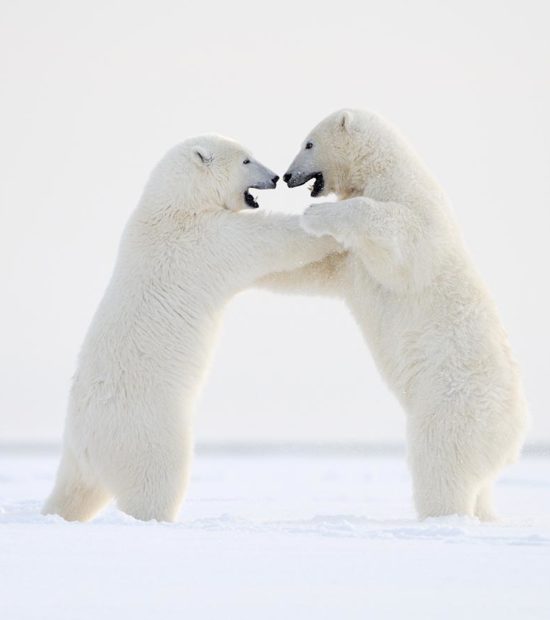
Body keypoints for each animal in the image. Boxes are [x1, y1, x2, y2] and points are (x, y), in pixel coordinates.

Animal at [41, 136, 338, 524]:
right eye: (247, 160)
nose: (275, 177)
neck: (174, 205)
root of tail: (86, 438)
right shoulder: (205, 239)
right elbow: (268, 240)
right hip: (145, 433)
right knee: (158, 481)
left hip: (78, 456)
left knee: (74, 491)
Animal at [266, 110, 532, 520]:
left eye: (308, 143)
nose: (287, 175)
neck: (383, 170)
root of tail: (516, 431)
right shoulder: (352, 260)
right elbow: (319, 269)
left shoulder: (417, 213)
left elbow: (401, 238)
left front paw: (316, 214)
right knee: (481, 488)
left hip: (453, 404)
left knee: (439, 462)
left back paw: (440, 516)